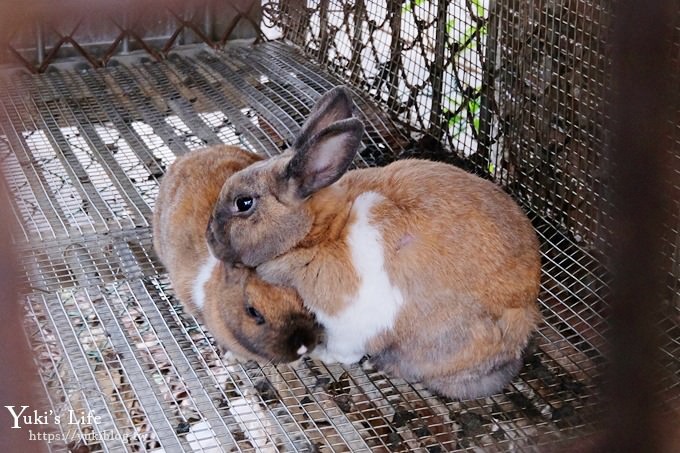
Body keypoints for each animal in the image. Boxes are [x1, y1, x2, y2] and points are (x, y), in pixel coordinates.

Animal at [207, 86, 540, 398]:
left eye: (244, 203)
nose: (210, 239)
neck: (318, 231)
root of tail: (521, 329)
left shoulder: (346, 317)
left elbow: (343, 350)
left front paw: (321, 353)